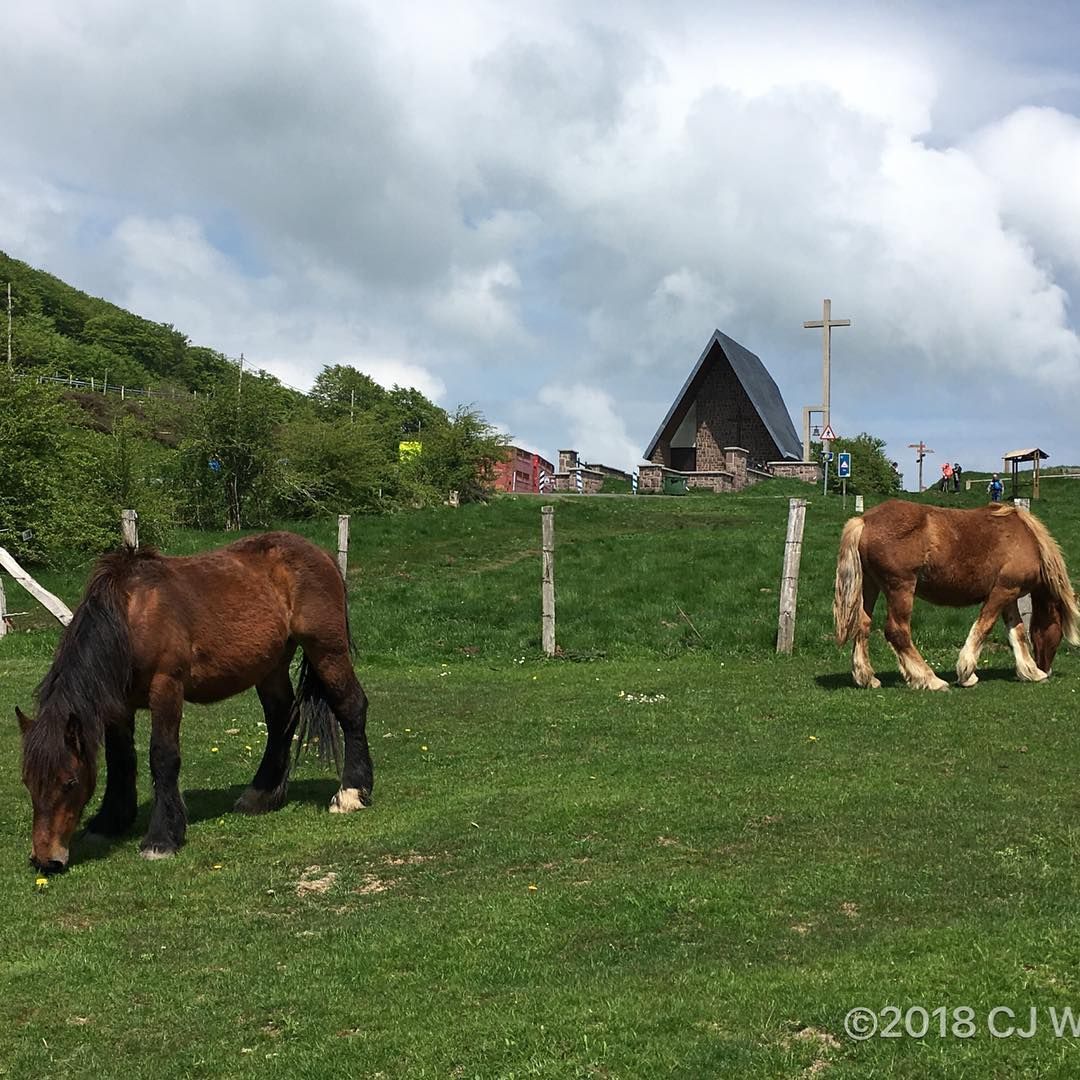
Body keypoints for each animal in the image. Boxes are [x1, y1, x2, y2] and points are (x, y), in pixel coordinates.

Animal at [17, 531, 374, 874]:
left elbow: (163, 757)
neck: (131, 616)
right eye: (28, 782)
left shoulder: (166, 688)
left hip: (327, 650)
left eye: (70, 782)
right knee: (281, 719)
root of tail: (322, 555)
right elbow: (120, 760)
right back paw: (260, 795)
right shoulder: (119, 706)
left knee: (351, 707)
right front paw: (110, 822)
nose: (46, 860)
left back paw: (352, 793)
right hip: (270, 667)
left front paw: (161, 838)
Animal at [834, 500, 1079, 690]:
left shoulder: (1010, 595)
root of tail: (864, 520)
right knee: (897, 631)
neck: (1026, 538)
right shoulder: (1002, 591)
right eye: (1059, 631)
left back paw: (867, 678)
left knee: (862, 626)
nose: (1045, 668)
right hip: (900, 588)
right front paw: (966, 674)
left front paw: (1030, 672)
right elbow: (983, 628)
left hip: (870, 586)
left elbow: (1016, 632)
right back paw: (930, 679)